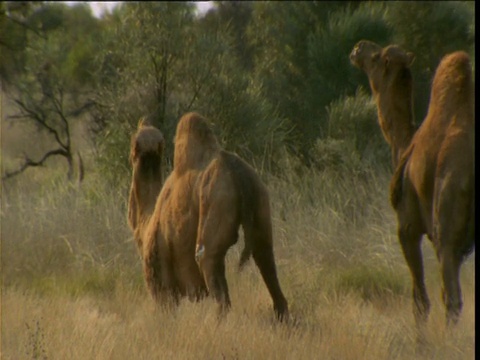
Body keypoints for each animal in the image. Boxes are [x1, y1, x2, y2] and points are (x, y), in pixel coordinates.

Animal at [125, 112, 288, 320]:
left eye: (132, 141)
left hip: (213, 219)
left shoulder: (161, 285)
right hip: (261, 206)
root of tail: (239, 173)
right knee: (268, 266)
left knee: (218, 287)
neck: (146, 222)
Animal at [350, 40, 474, 326]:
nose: (357, 48)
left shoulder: (407, 226)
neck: (403, 143)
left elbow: (420, 301)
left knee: (451, 299)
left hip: (445, 226)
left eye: (376, 57)